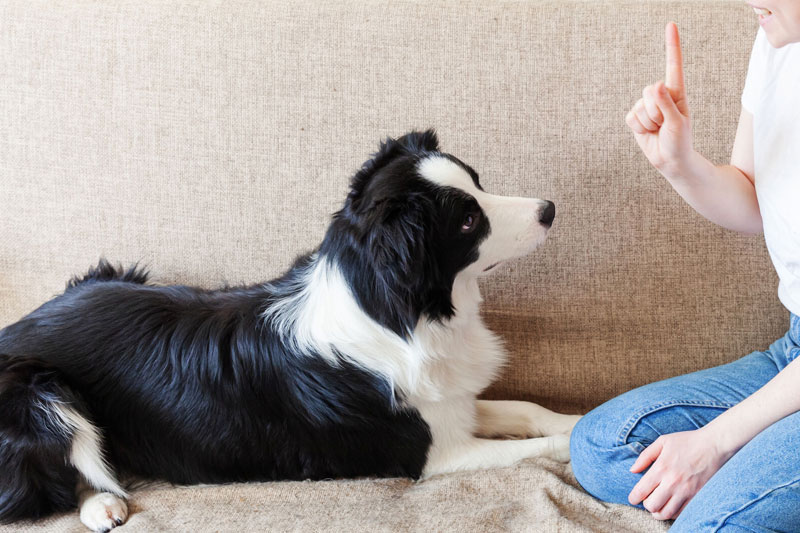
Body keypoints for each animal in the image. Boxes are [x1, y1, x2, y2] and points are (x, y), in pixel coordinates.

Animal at [0, 131, 576, 528]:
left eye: (478, 182)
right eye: (467, 221)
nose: (549, 208)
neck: (395, 309)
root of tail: (16, 328)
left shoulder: (450, 404)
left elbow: (530, 409)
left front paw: (578, 416)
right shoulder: (434, 455)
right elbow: (540, 446)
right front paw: (581, 441)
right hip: (43, 396)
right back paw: (101, 504)